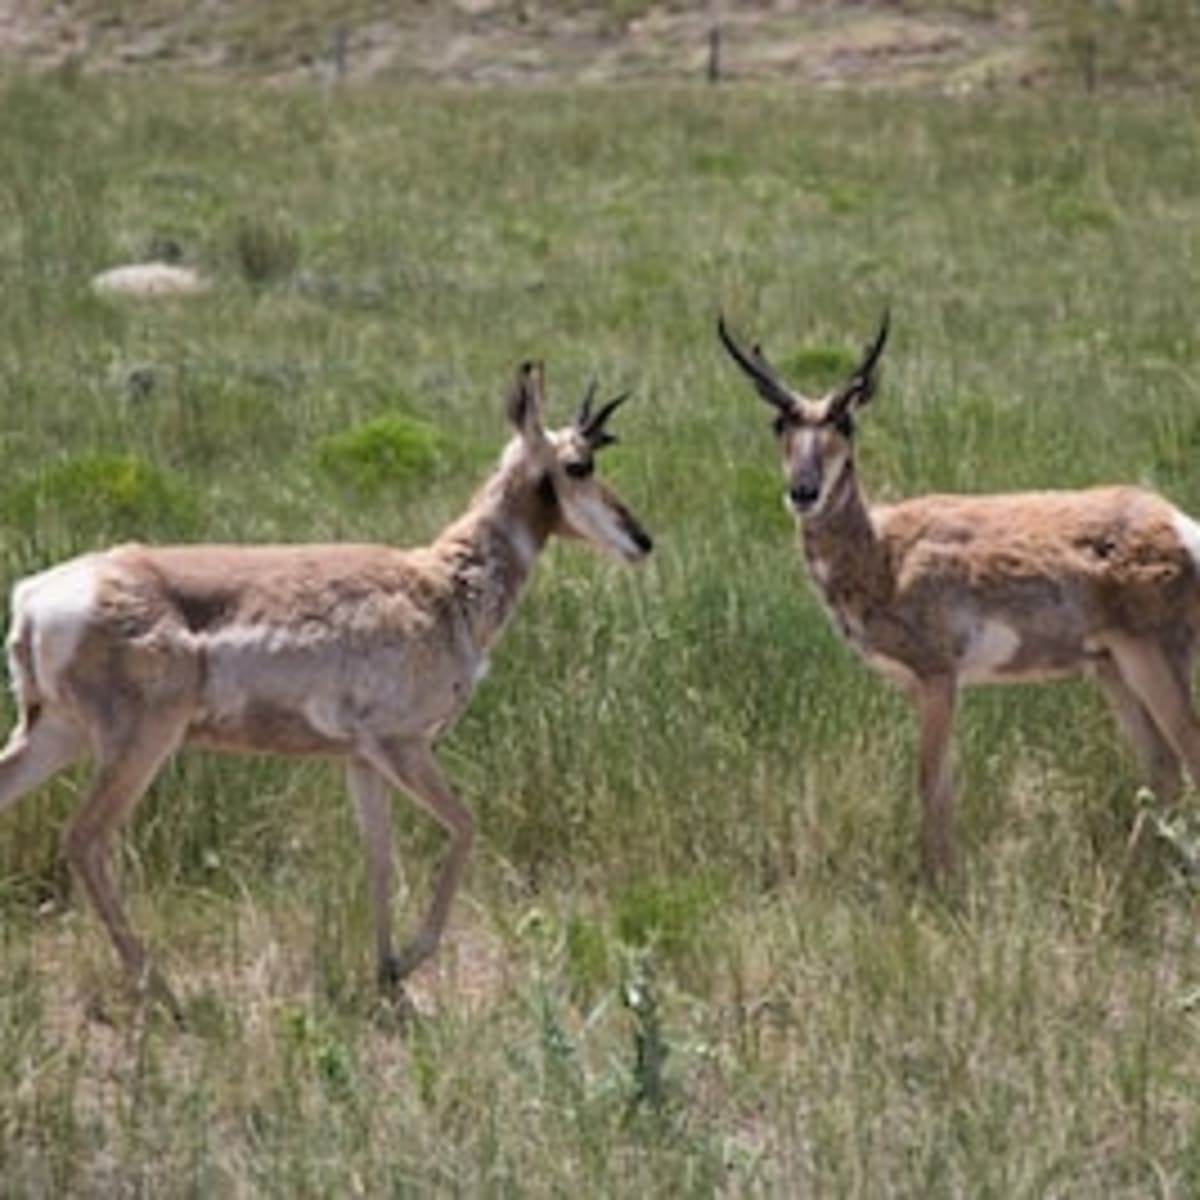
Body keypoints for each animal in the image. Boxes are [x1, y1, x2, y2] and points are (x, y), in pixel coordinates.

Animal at [0, 360, 652, 1017]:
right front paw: (408, 961)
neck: (439, 584)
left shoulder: (361, 761)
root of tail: (34, 595)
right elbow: (465, 827)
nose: (642, 539)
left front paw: (387, 975)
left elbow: (380, 859)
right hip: (137, 745)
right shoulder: (403, 745)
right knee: (86, 839)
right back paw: (164, 989)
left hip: (56, 735)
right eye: (579, 465)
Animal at [720, 316, 1200, 883]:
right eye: (779, 424)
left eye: (846, 422)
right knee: (1163, 768)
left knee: (1186, 756)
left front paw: (938, 887)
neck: (885, 552)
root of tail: (1178, 522)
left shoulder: (939, 675)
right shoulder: (923, 687)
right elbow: (944, 787)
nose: (804, 491)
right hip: (1112, 668)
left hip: (1152, 656)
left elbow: (928, 784)